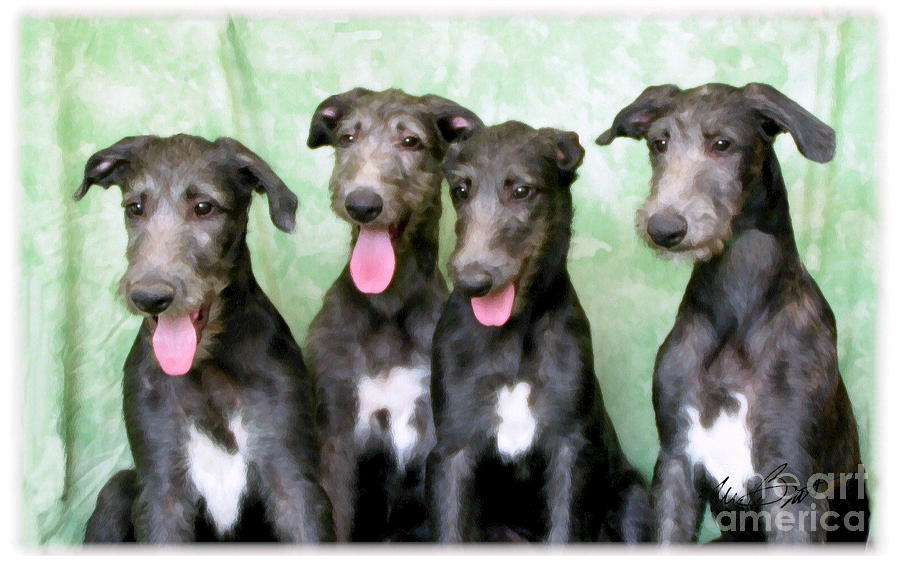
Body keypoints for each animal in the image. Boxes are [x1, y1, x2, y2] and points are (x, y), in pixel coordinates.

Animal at [76, 134, 334, 544]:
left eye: (204, 207)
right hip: (118, 489)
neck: (208, 366)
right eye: (135, 208)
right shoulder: (161, 485)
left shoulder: (292, 475)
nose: (149, 296)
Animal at [304, 86, 486, 544]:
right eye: (347, 138)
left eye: (411, 142)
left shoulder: (441, 436)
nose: (362, 203)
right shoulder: (335, 430)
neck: (387, 304)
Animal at [428, 122, 648, 544]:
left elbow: (564, 529)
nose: (471, 282)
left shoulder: (569, 447)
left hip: (632, 498)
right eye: (460, 190)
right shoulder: (454, 446)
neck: (511, 334)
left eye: (522, 191)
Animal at [596, 82, 872, 544]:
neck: (737, 309)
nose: (663, 228)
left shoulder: (791, 473)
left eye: (723, 144)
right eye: (659, 143)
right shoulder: (677, 460)